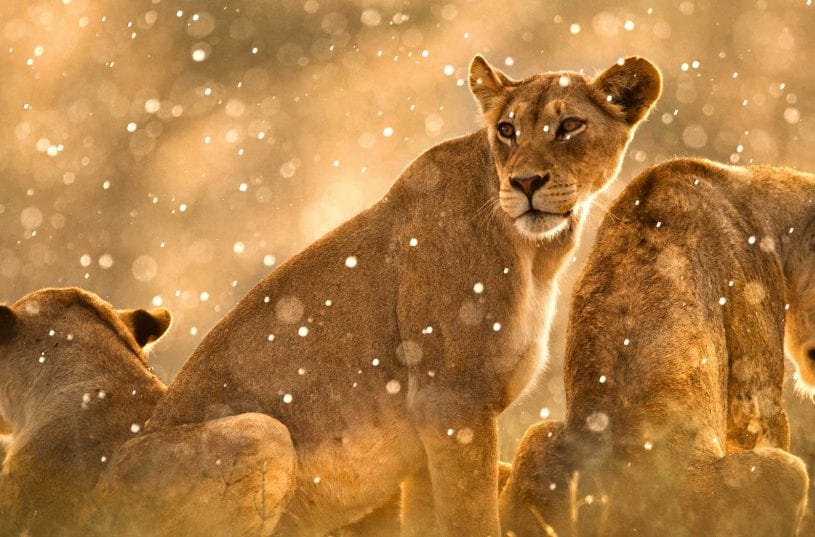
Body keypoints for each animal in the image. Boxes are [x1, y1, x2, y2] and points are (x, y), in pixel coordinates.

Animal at [100, 54, 661, 537]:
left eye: (569, 127)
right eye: (507, 130)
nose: (525, 182)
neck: (537, 254)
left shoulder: (430, 433)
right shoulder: (451, 399)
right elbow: (472, 518)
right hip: (264, 433)